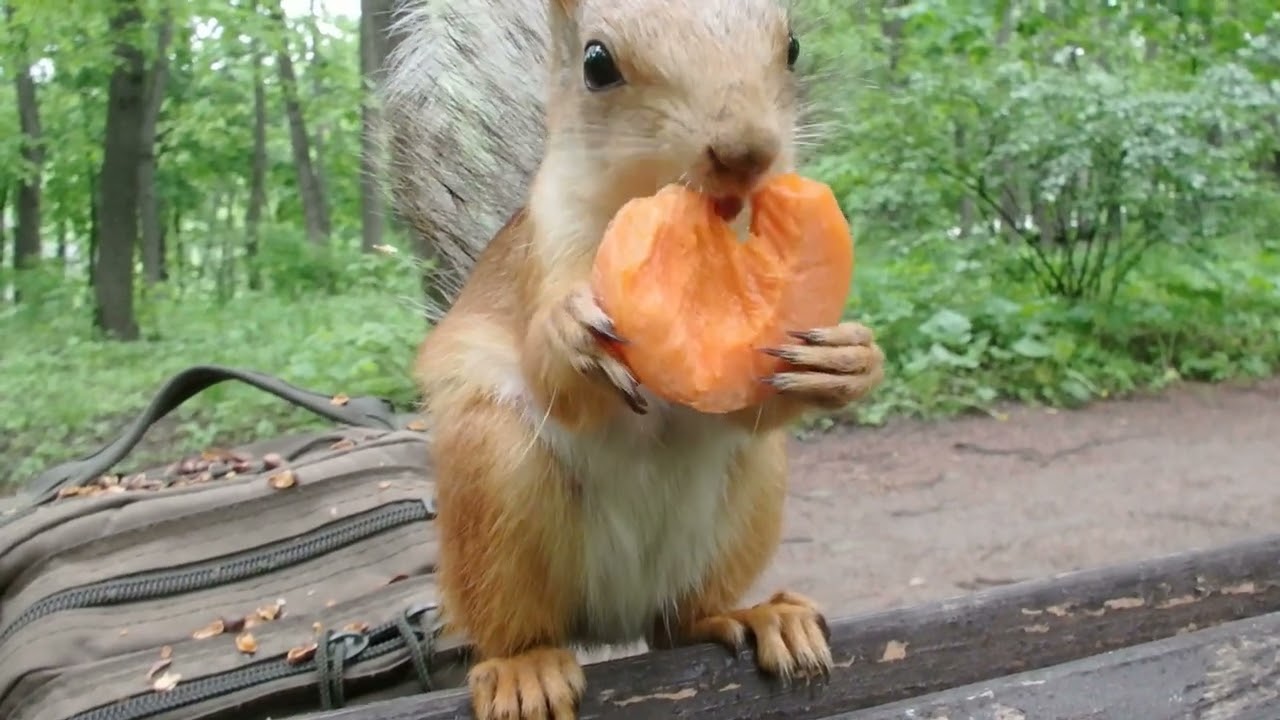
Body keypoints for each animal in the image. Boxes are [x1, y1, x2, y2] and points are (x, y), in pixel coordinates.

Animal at [382, 0, 886, 718]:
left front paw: (850, 360)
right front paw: (571, 338)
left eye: (791, 47)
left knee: (679, 622)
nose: (746, 152)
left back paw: (761, 617)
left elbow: (754, 400)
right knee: (511, 623)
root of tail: (611, 620)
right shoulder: (545, 252)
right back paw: (523, 668)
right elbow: (557, 379)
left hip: (749, 498)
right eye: (597, 63)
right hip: (494, 484)